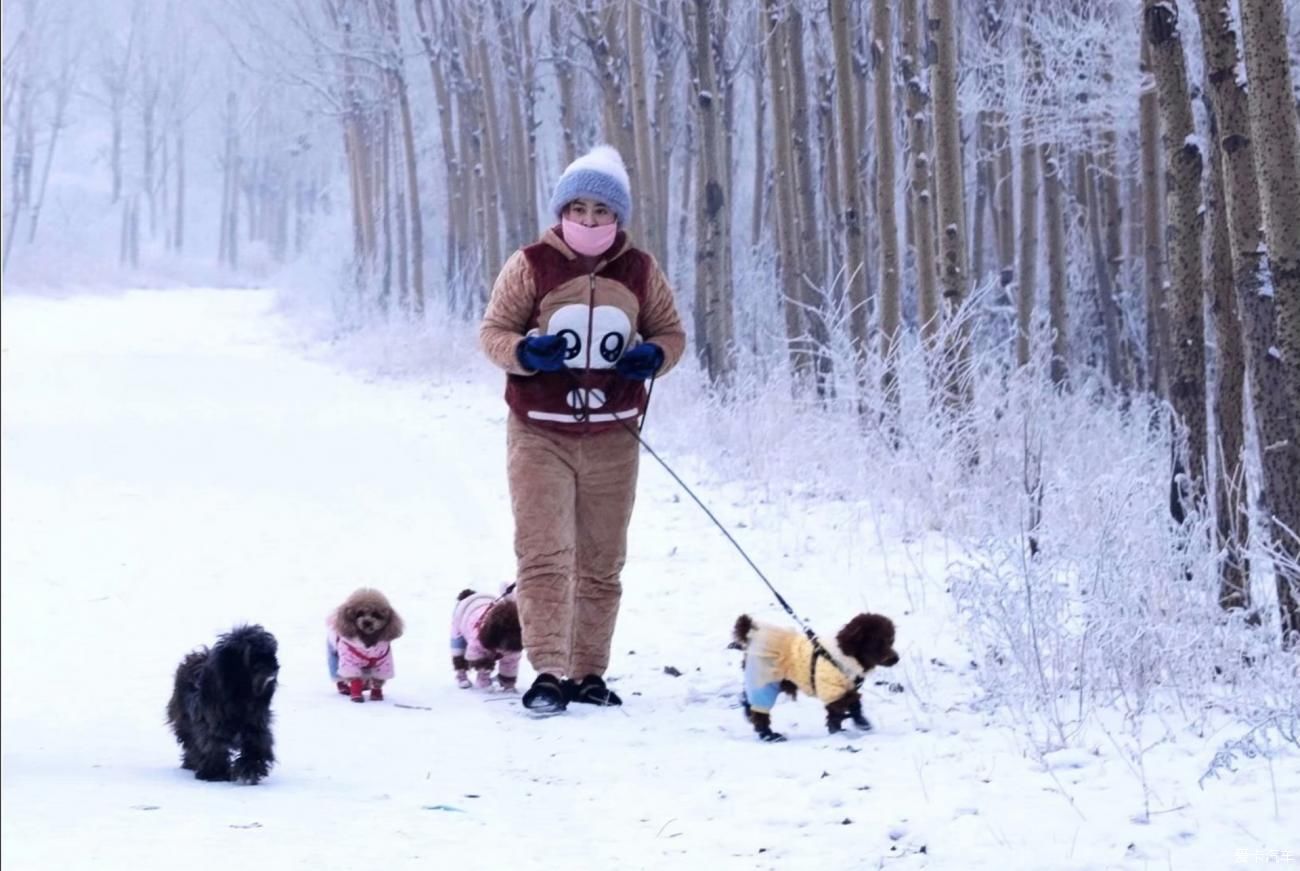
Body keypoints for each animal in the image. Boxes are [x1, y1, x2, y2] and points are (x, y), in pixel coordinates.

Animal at [167, 629, 279, 785]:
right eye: (253, 657)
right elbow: (213, 746)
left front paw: (249, 768)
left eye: (270, 654)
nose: (274, 668)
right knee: (191, 742)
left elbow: (256, 745)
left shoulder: (256, 725)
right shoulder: (211, 726)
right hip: (184, 720)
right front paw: (215, 773)